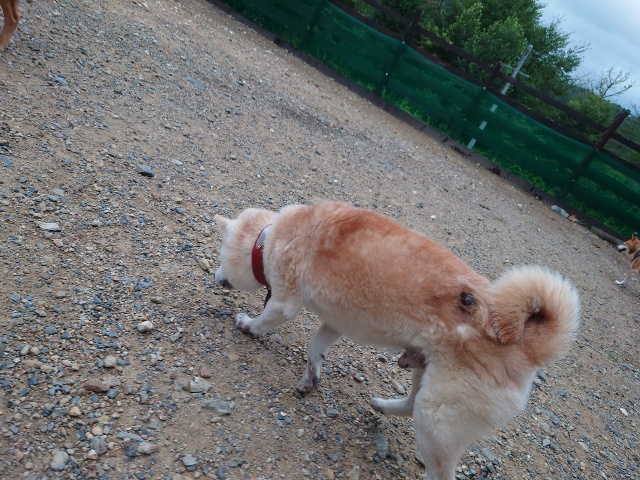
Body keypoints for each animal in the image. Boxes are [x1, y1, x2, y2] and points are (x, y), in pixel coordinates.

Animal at [214, 201, 579, 480]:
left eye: (220, 254)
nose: (215, 278)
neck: (271, 237)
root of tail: (527, 346)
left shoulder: (285, 302)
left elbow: (266, 320)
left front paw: (248, 325)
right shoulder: (335, 323)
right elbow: (314, 349)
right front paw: (311, 376)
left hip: (437, 418)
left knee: (441, 472)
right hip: (427, 380)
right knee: (408, 404)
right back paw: (382, 405)